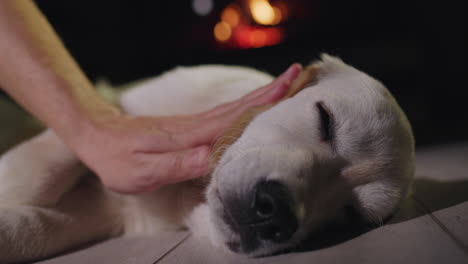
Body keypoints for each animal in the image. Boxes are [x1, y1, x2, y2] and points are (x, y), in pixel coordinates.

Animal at [0, 54, 414, 262]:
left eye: (351, 214)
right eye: (325, 120)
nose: (275, 214)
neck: (187, 193)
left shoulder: (103, 211)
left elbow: (30, 227)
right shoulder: (118, 115)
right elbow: (42, 166)